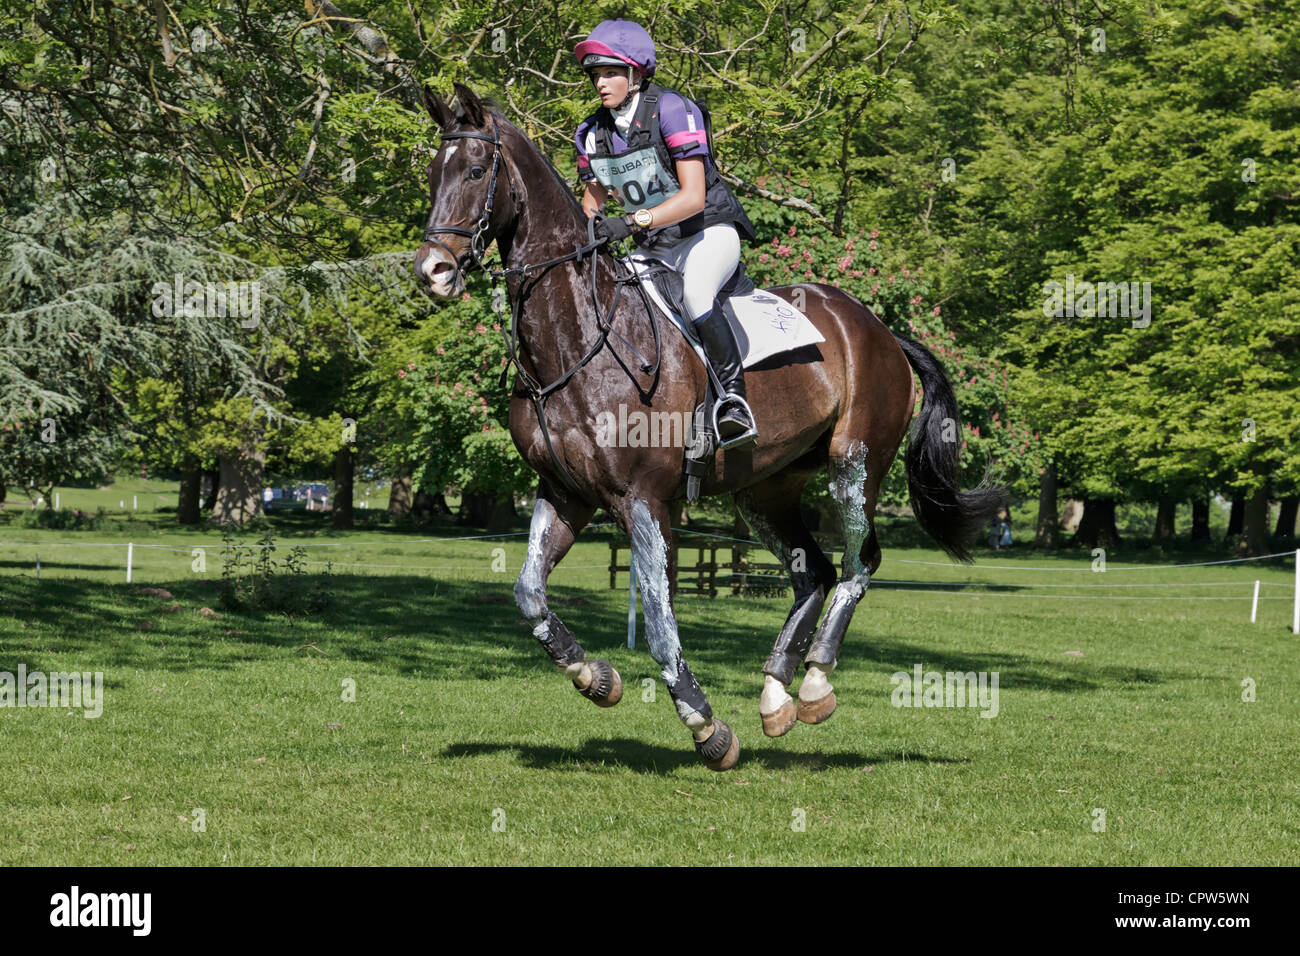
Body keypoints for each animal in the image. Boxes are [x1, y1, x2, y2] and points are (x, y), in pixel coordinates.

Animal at [415, 83, 1005, 771]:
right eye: (433, 174)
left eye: (475, 171)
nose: (432, 271)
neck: (578, 339)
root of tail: (880, 329)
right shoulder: (566, 493)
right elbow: (530, 592)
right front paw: (595, 677)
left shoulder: (643, 500)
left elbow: (660, 623)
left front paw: (707, 727)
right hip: (764, 489)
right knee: (813, 571)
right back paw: (777, 696)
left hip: (853, 464)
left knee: (859, 563)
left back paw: (814, 682)